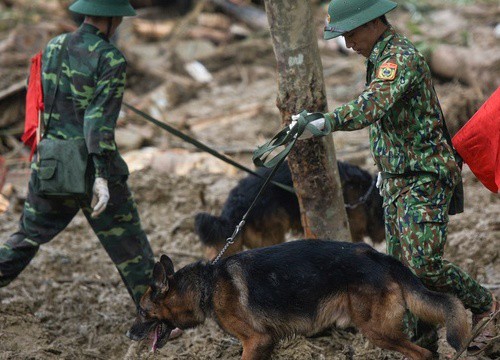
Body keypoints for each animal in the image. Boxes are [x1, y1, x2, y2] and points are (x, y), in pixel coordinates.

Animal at [127, 239, 470, 360]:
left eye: (142, 311)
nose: (128, 334)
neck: (208, 286)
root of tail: (377, 255)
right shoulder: (265, 344)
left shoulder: (257, 341)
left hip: (376, 330)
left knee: (422, 354)